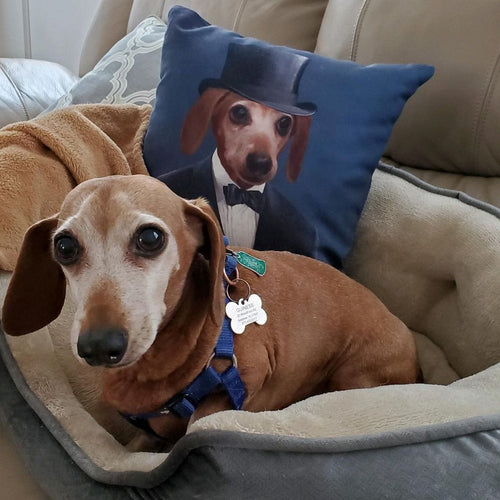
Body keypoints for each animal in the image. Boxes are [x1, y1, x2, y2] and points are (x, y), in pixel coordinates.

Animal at [1, 175, 420, 450]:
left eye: (150, 237)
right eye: (64, 247)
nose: (100, 346)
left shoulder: (246, 378)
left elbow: (200, 423)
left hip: (355, 374)